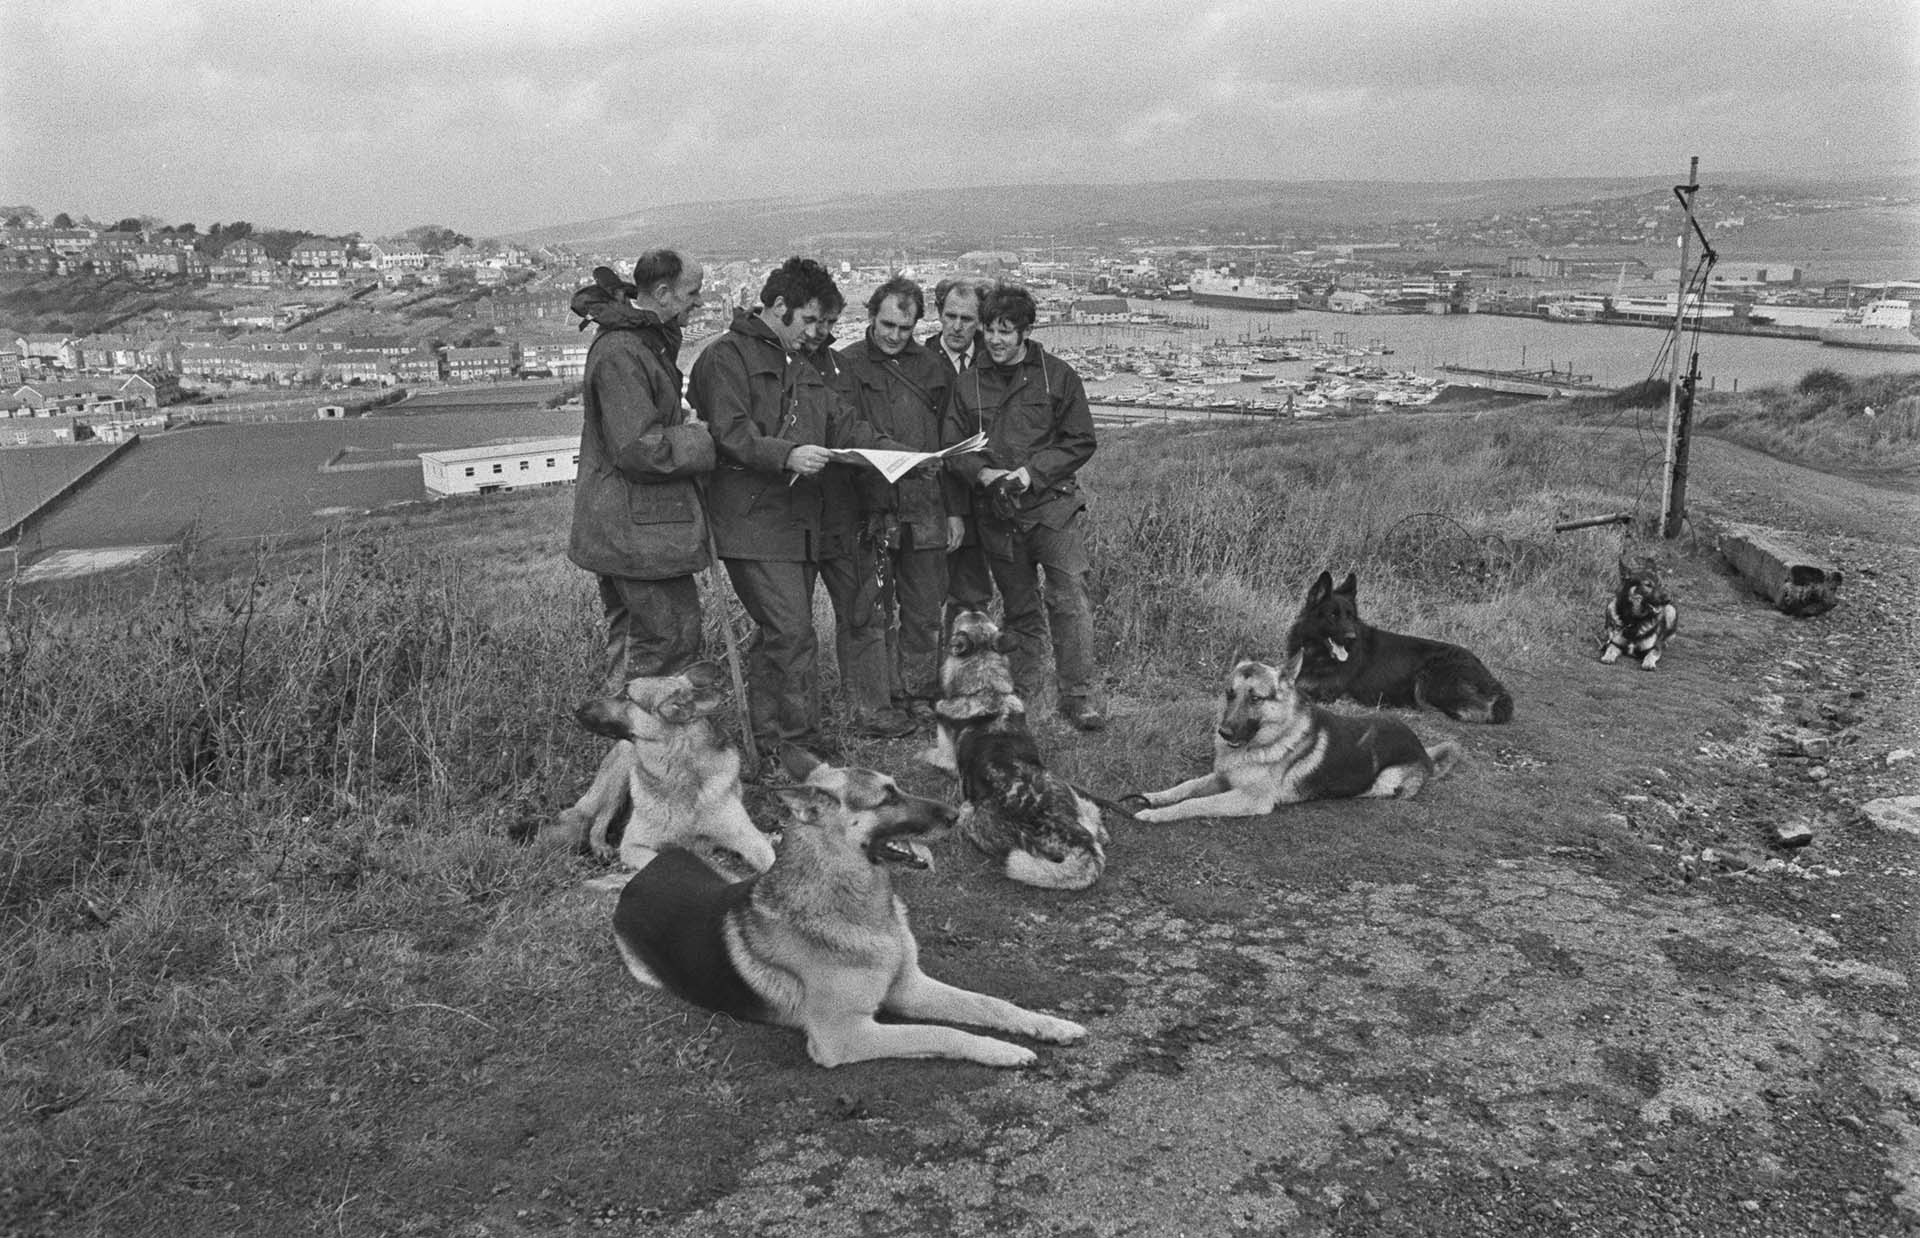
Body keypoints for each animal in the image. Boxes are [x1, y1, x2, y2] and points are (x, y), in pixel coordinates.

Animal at [549, 656, 771, 879]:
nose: (576, 708)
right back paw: (601, 847)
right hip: (621, 772)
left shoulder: (749, 838)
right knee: (600, 819)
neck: (680, 773)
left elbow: (770, 861)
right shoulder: (633, 846)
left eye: (626, 696)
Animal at [614, 756, 1098, 1067]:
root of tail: (646, 872)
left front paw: (1047, 1024)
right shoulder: (845, 1036)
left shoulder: (908, 987)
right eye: (886, 799)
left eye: (898, 787)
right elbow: (942, 1032)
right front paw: (1002, 1051)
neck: (862, 910)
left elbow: (990, 1003)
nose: (957, 813)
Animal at [917, 610, 1113, 886]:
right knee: (1094, 817)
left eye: (958, 624)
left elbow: (927, 753)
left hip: (967, 812)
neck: (986, 687)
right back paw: (1101, 831)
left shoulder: (945, 754)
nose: (970, 608)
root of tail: (1077, 839)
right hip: (1071, 794)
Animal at [1121, 656, 1459, 821]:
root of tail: (1424, 752)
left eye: (1255, 698)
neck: (1269, 740)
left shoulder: (1249, 799)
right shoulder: (1222, 778)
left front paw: (1156, 814)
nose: (1224, 732)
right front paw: (1154, 797)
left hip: (1386, 782)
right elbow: (1187, 787)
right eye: (1230, 694)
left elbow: (1196, 803)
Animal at [1290, 568, 1512, 725]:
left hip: (1431, 678)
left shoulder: (1325, 690)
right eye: (1333, 616)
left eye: (1350, 616)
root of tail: (1487, 674)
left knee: (1482, 709)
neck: (1316, 652)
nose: (1352, 638)